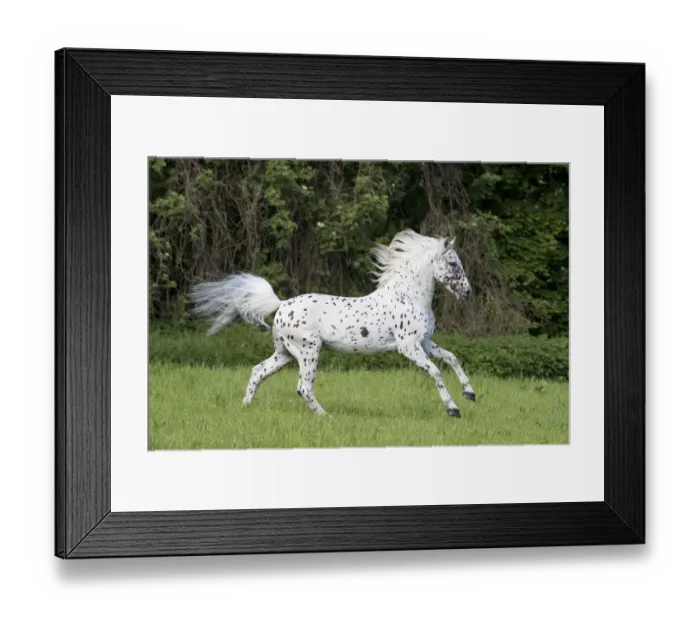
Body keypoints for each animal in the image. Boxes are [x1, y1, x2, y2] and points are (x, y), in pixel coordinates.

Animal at [190, 229, 477, 418]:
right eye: (453, 262)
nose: (468, 293)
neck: (408, 296)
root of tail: (281, 305)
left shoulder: (425, 343)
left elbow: (452, 358)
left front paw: (470, 393)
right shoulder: (408, 347)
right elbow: (436, 372)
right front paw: (453, 409)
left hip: (285, 354)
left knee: (258, 371)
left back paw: (246, 407)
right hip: (308, 351)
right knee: (303, 388)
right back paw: (326, 416)